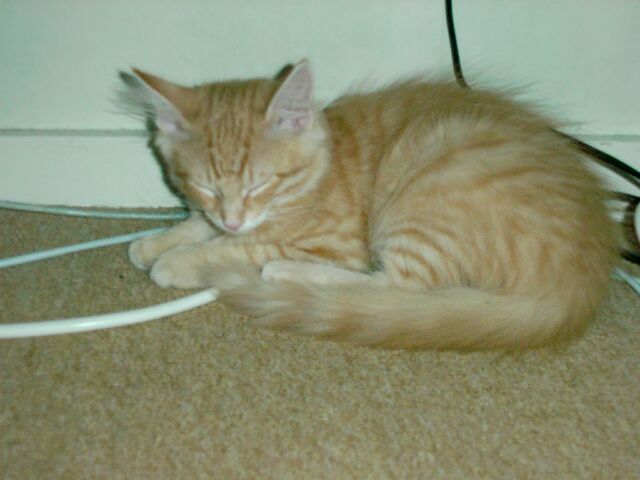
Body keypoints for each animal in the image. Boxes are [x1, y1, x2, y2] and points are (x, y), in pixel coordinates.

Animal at [122, 60, 618, 350]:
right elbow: (200, 226)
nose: (233, 218)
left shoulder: (338, 242)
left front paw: (181, 260)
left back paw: (289, 274)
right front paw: (156, 242)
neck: (323, 165)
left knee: (396, 288)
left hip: (429, 192)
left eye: (260, 183)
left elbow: (243, 246)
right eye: (205, 186)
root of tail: (583, 281)